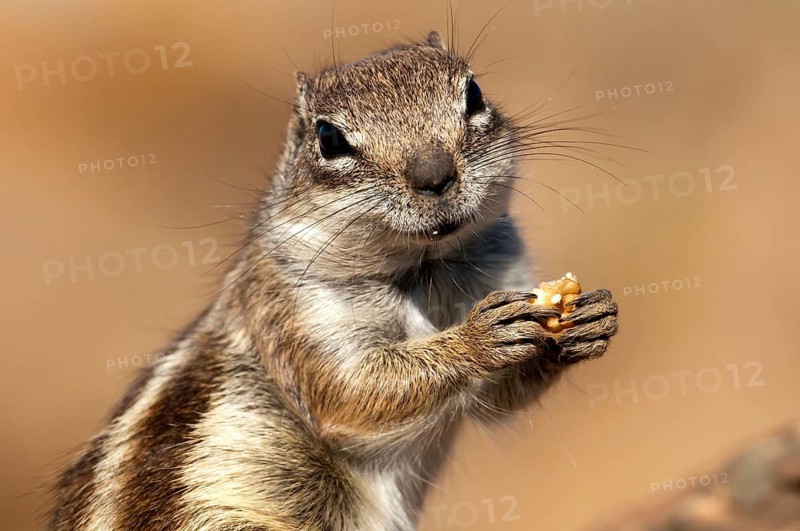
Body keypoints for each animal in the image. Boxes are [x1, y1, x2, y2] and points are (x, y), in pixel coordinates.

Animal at [49, 31, 618, 531]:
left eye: (474, 94)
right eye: (328, 138)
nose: (434, 175)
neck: (422, 269)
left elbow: (497, 400)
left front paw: (590, 320)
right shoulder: (295, 312)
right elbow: (349, 390)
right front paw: (475, 338)